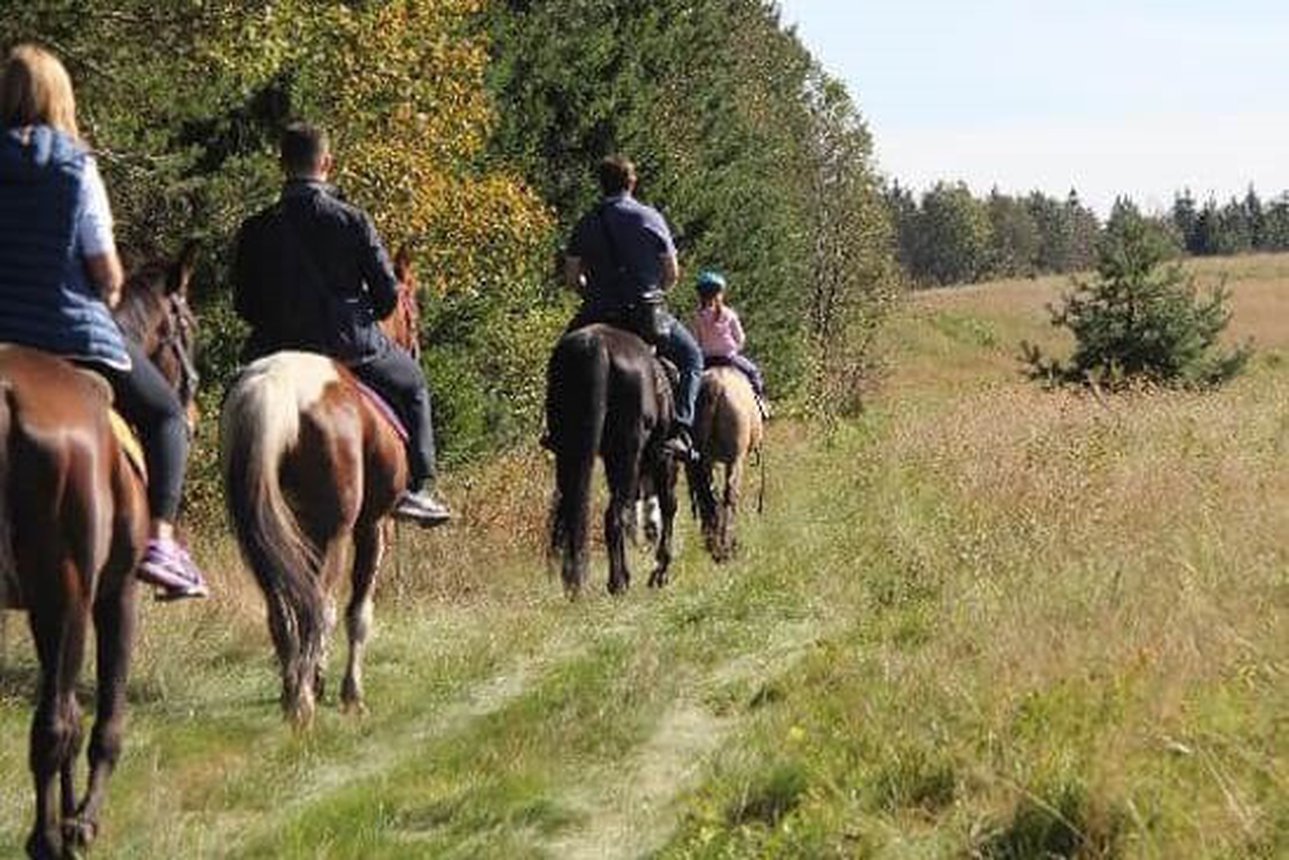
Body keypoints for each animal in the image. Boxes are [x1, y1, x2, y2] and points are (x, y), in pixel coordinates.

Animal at [0, 247, 198, 860]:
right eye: (189, 327)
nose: (192, 413)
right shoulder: (113, 594)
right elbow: (102, 716)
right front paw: (79, 823)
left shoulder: (48, 607)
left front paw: (64, 817)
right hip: (69, 592)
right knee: (53, 726)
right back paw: (50, 840)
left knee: (55, 718)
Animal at [221, 248, 420, 727]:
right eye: (413, 308)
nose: (415, 346)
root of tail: (277, 388)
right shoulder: (372, 526)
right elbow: (358, 612)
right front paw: (350, 694)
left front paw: (317, 677)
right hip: (336, 531)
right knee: (321, 606)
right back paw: (304, 705)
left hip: (258, 533)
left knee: (282, 609)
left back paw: (292, 693)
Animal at [546, 322, 680, 598]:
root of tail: (596, 348)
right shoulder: (663, 456)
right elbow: (669, 505)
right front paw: (660, 571)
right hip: (627, 454)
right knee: (615, 515)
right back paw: (618, 581)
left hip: (570, 453)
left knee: (573, 510)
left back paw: (573, 582)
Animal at [685, 366, 763, 562]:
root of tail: (717, 386)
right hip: (735, 459)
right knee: (729, 495)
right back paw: (726, 546)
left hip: (701, 460)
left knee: (708, 495)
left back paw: (712, 543)